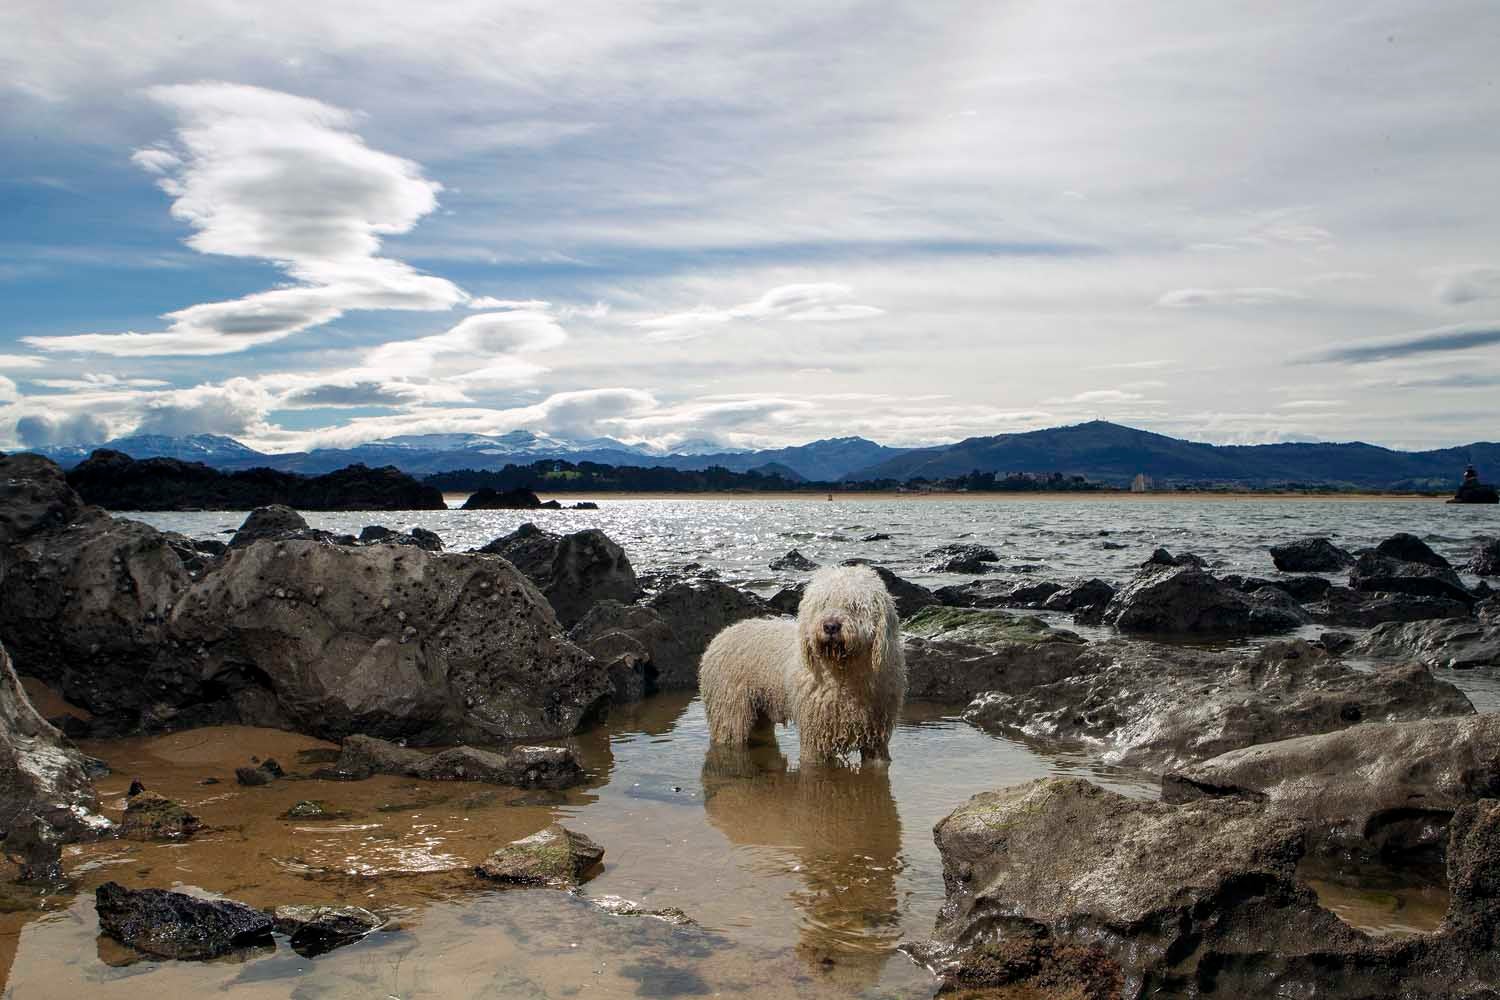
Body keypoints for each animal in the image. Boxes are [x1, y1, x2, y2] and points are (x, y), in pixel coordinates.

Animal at [699, 566, 900, 761]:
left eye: (854, 605)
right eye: (822, 604)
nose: (830, 626)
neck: (845, 671)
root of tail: (720, 635)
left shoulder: (876, 738)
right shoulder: (815, 736)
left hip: (759, 710)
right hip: (730, 709)